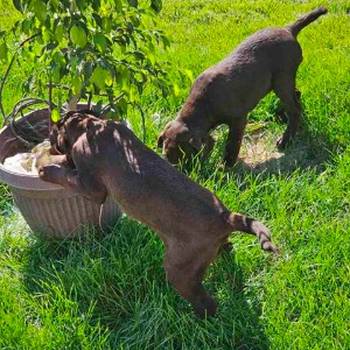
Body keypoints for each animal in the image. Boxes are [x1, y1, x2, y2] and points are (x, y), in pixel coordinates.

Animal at [159, 7, 328, 166]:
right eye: (166, 155)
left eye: (185, 157)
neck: (204, 103)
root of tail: (288, 29)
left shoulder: (238, 120)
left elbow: (232, 145)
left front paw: (226, 166)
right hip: (283, 81)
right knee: (296, 96)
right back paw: (282, 117)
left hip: (282, 79)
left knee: (294, 108)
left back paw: (285, 140)